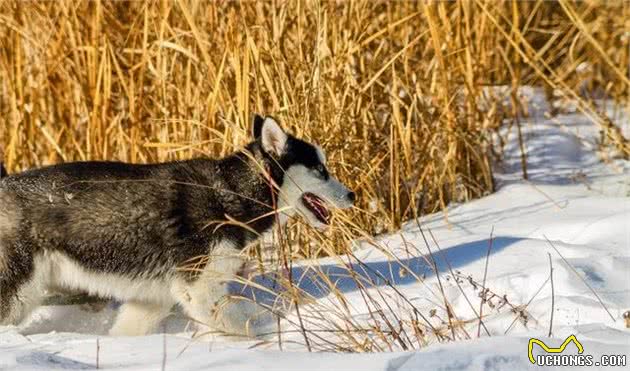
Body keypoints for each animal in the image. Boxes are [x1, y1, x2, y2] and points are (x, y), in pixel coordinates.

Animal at [0, 116, 356, 338]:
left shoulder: (152, 300)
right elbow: (240, 329)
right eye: (320, 169)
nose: (353, 194)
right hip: (17, 293)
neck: (230, 192)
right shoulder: (198, 291)